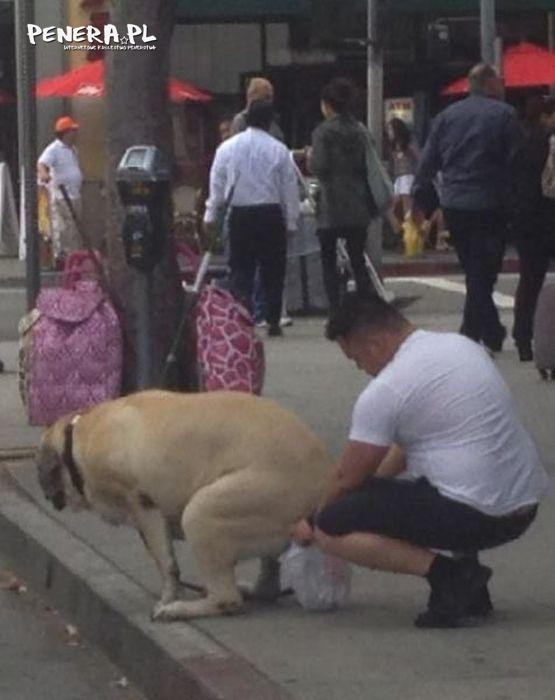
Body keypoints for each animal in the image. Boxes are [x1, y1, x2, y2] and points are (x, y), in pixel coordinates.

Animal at [35, 392, 334, 620]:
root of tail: (325, 479)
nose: (45, 490)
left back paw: (181, 609)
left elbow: (166, 563)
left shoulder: (144, 506)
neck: (77, 439)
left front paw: (169, 598)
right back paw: (255, 590)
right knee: (267, 581)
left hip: (203, 512)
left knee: (226, 599)